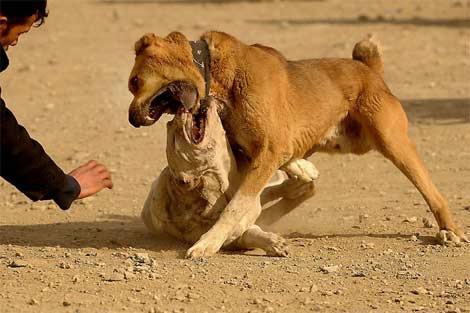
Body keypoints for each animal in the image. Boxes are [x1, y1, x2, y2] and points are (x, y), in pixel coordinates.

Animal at [126, 31, 468, 256]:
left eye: (134, 82)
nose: (130, 118)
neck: (216, 69)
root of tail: (369, 69)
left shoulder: (265, 152)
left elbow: (237, 206)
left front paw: (208, 242)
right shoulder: (248, 154)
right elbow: (248, 198)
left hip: (391, 141)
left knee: (432, 191)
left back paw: (450, 231)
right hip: (345, 141)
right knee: (304, 174)